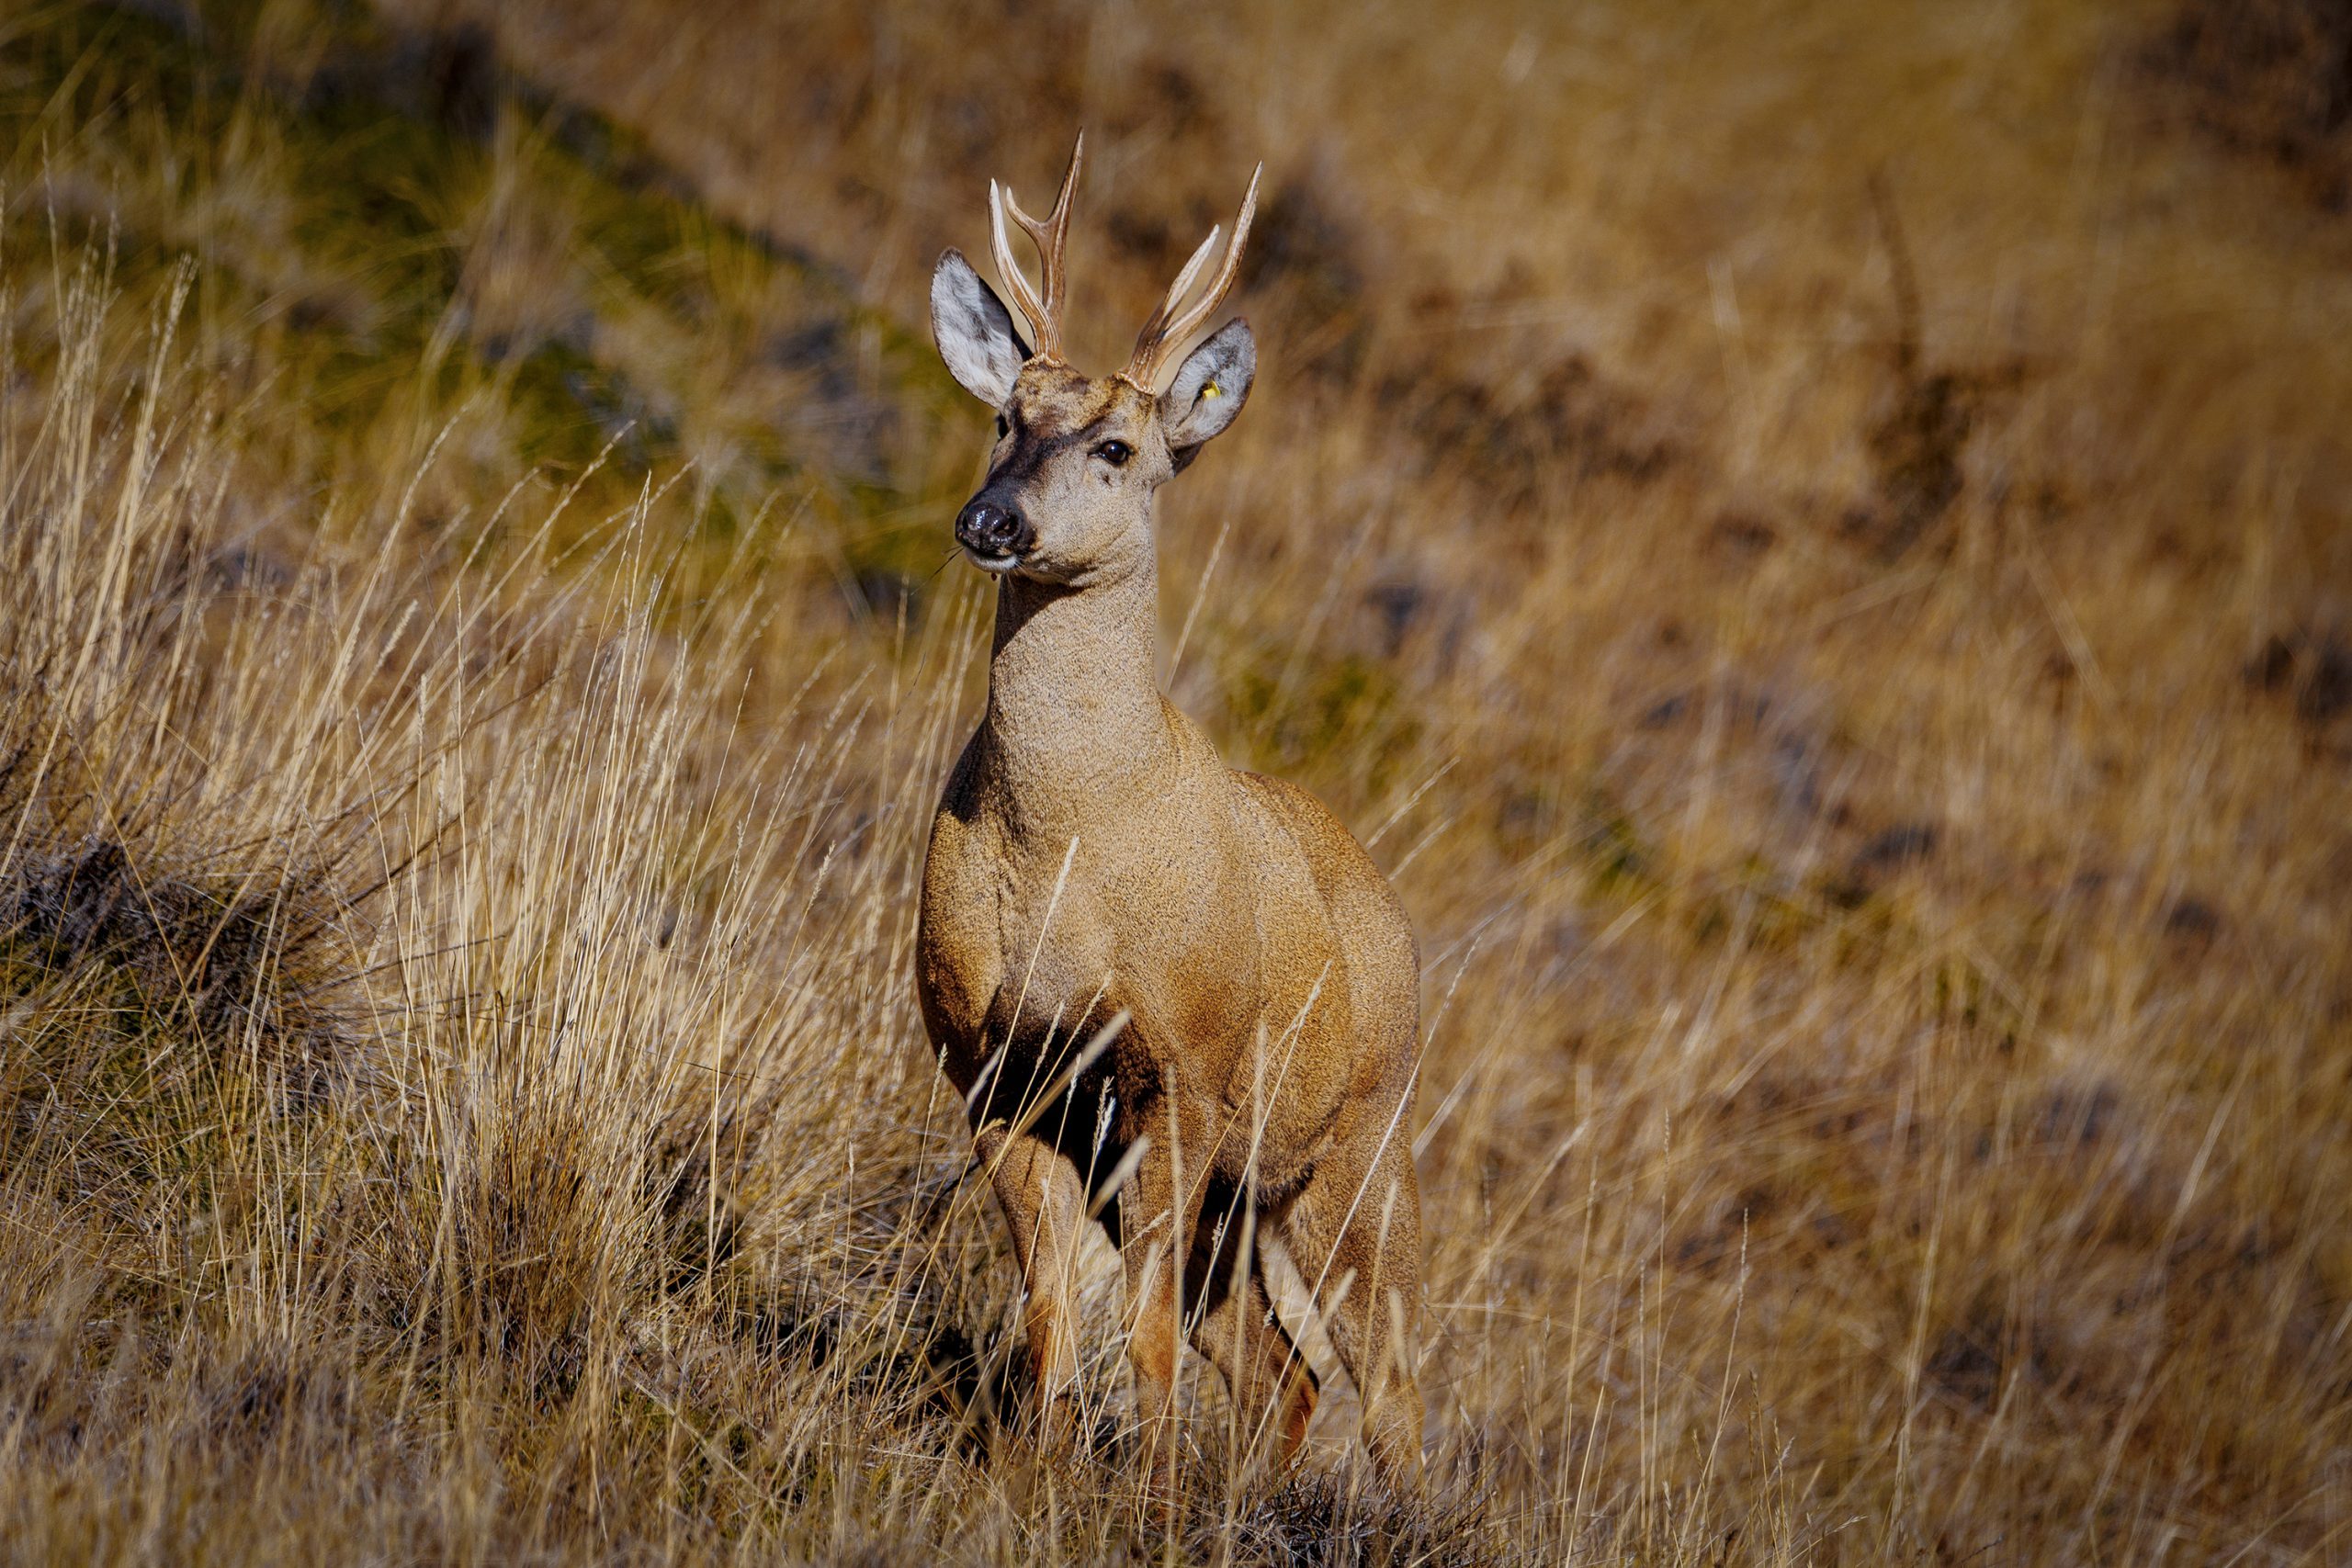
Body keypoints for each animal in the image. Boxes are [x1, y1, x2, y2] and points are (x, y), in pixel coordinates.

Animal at [915, 133, 1425, 1497]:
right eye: (1004, 417)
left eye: (1117, 450)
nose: (990, 519)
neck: (1064, 850)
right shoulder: (992, 1063)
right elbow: (1050, 1309)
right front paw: (1033, 1476)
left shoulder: (1184, 1068)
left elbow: (1133, 1326)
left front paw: (1133, 1503)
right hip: (1242, 1196)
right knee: (1282, 1367)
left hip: (1356, 1145)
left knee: (1392, 1380)